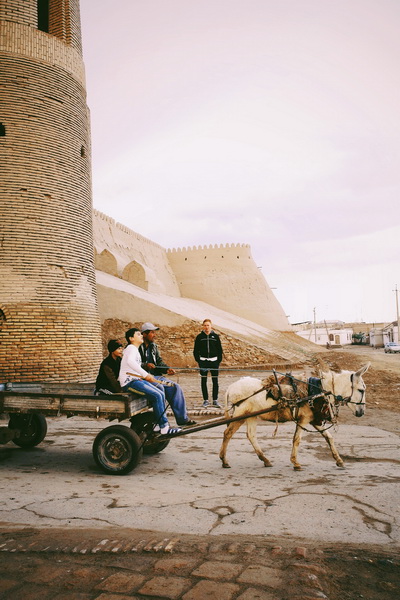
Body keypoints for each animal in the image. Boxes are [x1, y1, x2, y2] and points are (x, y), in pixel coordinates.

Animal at [219, 364, 368, 472]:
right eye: (361, 390)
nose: (361, 412)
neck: (317, 392)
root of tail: (231, 387)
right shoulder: (303, 420)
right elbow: (297, 440)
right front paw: (296, 463)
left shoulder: (314, 420)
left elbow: (329, 437)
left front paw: (339, 460)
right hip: (240, 415)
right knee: (228, 433)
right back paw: (224, 460)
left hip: (251, 416)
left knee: (251, 435)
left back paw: (265, 459)